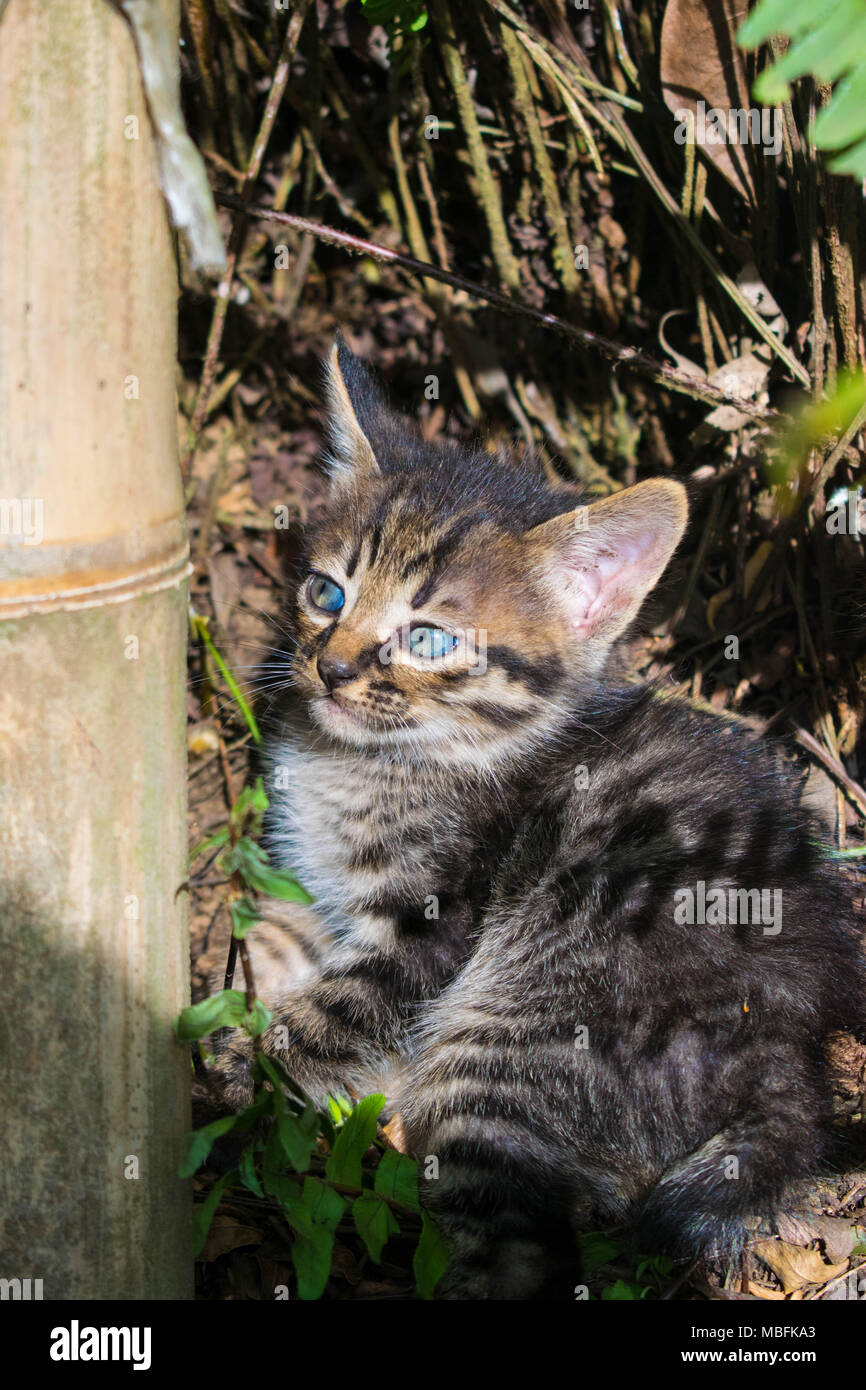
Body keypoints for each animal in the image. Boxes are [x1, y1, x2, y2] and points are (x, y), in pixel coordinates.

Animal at [218, 330, 866, 1295]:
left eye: (429, 639)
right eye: (327, 593)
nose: (329, 669)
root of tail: (786, 1052)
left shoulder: (436, 926)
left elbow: (332, 1012)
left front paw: (235, 1066)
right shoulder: (325, 895)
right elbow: (275, 941)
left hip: (516, 1034)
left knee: (522, 1243)